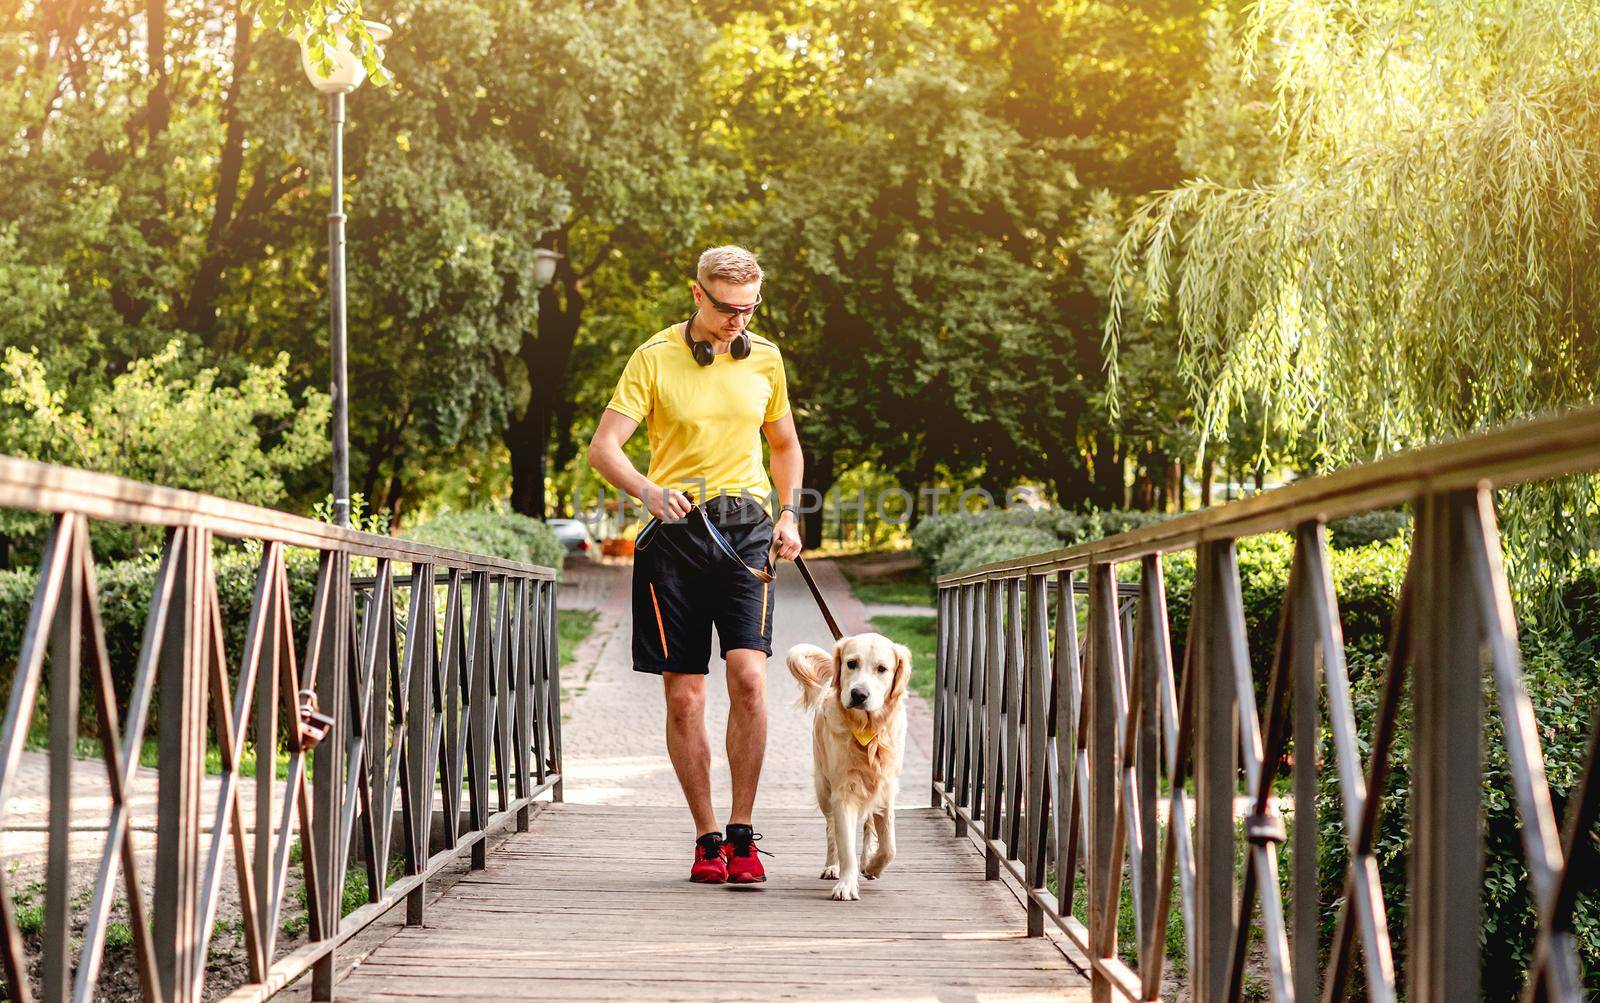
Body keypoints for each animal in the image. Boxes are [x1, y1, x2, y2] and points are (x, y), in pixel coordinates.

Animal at [787, 636, 915, 902]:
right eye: (851, 663)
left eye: (882, 669)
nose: (859, 694)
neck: (868, 730)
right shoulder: (843, 792)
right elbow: (845, 843)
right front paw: (846, 883)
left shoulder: (885, 790)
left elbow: (889, 847)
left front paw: (873, 865)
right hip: (823, 788)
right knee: (831, 829)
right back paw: (831, 866)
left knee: (868, 826)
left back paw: (867, 858)